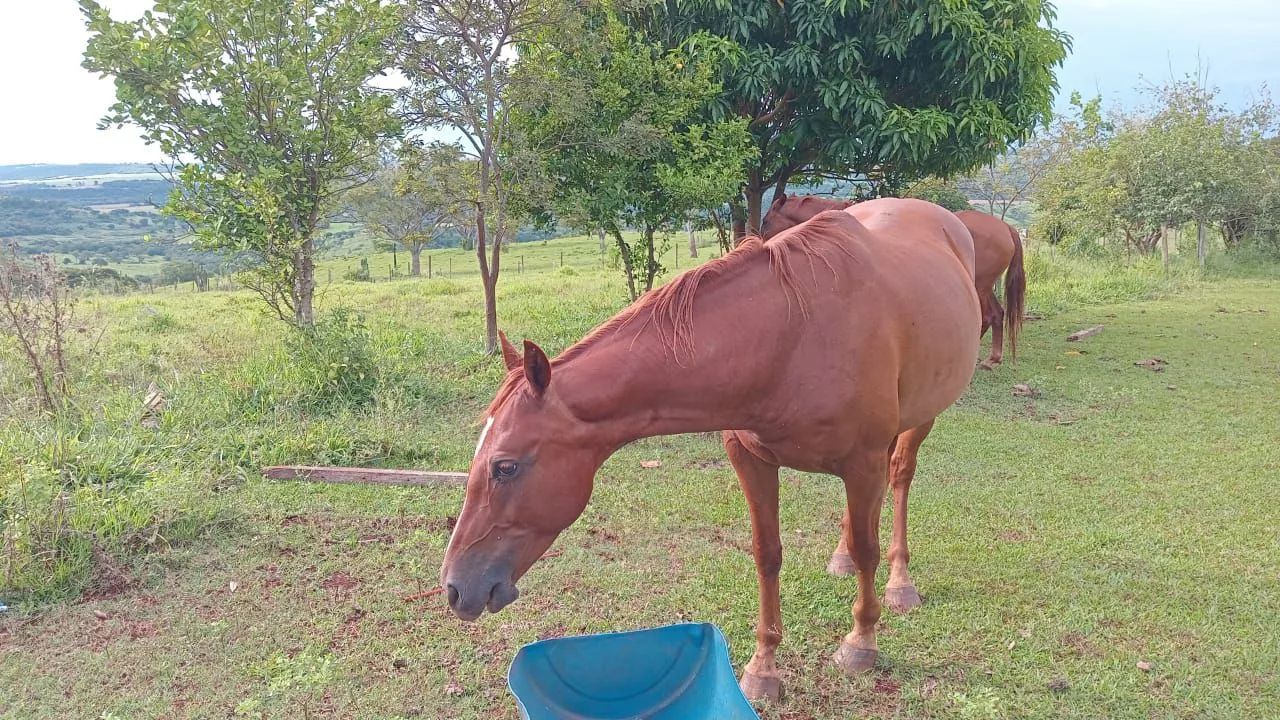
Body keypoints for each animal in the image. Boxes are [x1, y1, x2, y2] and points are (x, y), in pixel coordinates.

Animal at [440, 198, 980, 702]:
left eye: (505, 467)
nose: (455, 587)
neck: (791, 335)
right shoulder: (752, 460)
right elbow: (767, 554)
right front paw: (764, 669)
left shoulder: (862, 462)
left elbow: (869, 549)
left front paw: (861, 642)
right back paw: (841, 556)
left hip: (920, 419)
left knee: (900, 477)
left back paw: (900, 582)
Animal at [761, 193, 1025, 369]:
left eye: (766, 220)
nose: (761, 237)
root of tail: (1007, 228)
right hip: (984, 286)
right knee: (997, 314)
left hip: (980, 286)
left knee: (987, 316)